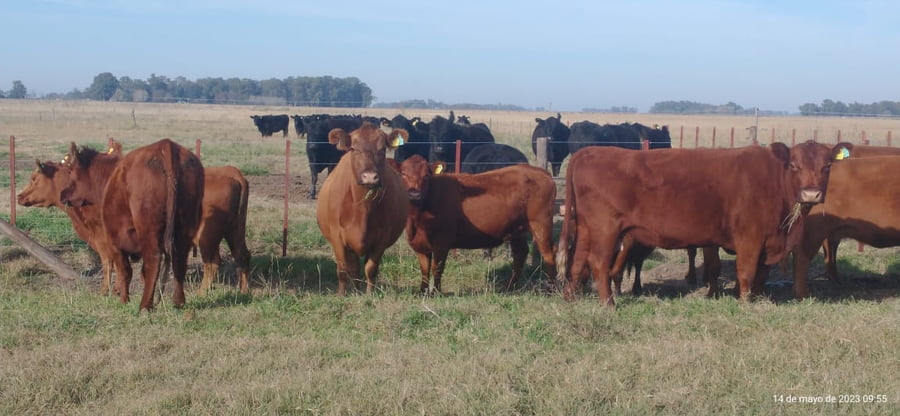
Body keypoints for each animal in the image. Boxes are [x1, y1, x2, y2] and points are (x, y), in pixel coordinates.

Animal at [61, 139, 205, 311]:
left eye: (70, 171)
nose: (62, 194)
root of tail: (165, 145)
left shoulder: (114, 241)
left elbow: (124, 271)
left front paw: (123, 299)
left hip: (149, 232)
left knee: (153, 260)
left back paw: (145, 305)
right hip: (185, 227)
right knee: (179, 259)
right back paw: (178, 301)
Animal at [316, 123, 409, 296]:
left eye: (382, 149)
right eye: (353, 148)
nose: (370, 177)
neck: (362, 210)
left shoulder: (382, 238)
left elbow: (371, 269)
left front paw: (369, 294)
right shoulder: (337, 236)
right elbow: (342, 269)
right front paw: (341, 295)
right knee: (353, 269)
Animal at [398, 155, 557, 294]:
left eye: (426, 175)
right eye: (403, 174)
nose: (414, 194)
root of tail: (542, 172)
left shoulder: (441, 242)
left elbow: (437, 268)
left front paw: (435, 292)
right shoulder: (420, 244)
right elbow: (424, 269)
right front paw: (422, 292)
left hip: (541, 224)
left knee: (549, 254)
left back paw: (551, 289)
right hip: (517, 230)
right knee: (520, 254)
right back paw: (509, 287)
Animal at [556, 141, 851, 306]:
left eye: (827, 166)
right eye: (793, 165)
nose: (811, 194)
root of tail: (589, 151)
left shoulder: (769, 243)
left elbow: (761, 276)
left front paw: (755, 299)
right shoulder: (750, 238)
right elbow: (746, 273)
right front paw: (744, 303)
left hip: (586, 229)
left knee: (578, 261)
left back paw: (570, 298)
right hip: (606, 230)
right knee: (598, 263)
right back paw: (608, 304)